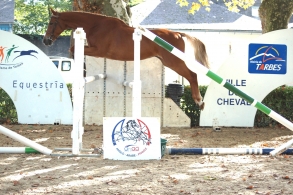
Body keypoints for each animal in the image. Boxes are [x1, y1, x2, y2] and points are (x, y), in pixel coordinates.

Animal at [42, 8, 208, 109]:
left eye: (51, 23)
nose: (46, 41)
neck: (96, 25)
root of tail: (179, 34)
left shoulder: (99, 50)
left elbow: (73, 49)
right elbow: (74, 50)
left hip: (174, 62)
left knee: (192, 75)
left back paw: (199, 101)